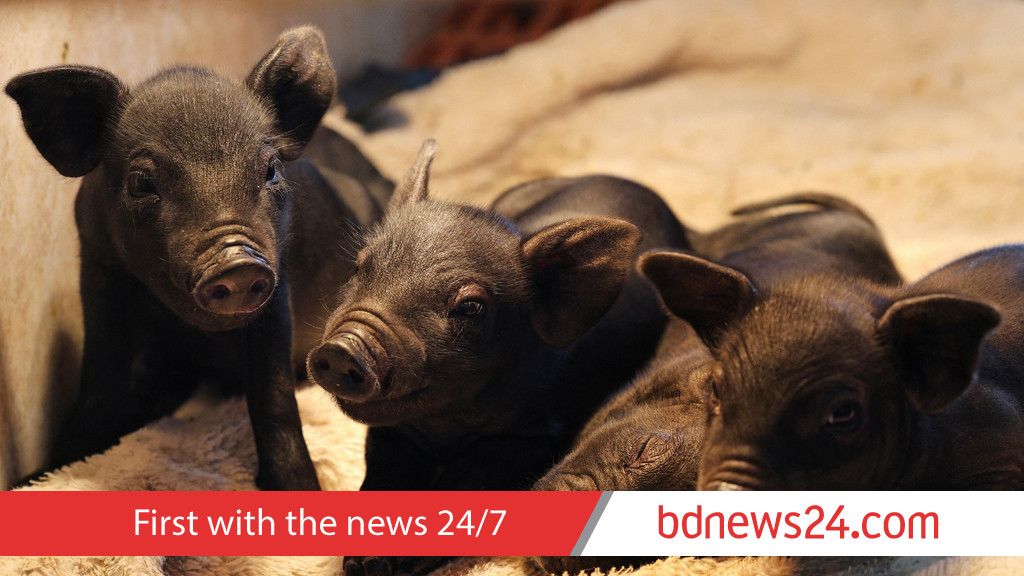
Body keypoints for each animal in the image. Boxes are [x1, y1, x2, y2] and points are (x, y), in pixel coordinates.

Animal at [5, 26, 392, 490]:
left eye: (270, 169)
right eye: (141, 181)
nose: (237, 262)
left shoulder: (276, 286)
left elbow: (274, 394)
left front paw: (297, 486)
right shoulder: (99, 272)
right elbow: (100, 382)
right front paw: (46, 473)